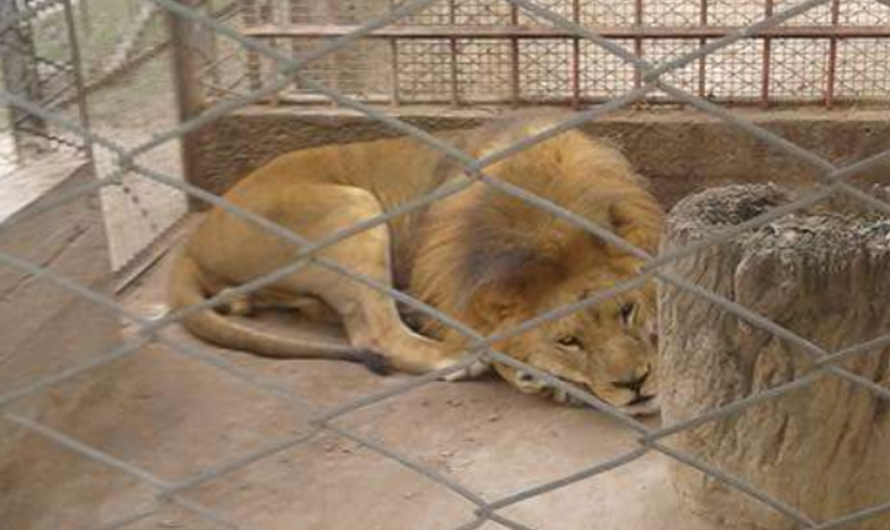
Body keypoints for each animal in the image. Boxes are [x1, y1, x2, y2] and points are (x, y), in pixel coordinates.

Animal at [170, 111, 664, 414]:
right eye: (568, 341)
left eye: (627, 311)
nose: (636, 382)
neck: (545, 229)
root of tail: (197, 237)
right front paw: (535, 375)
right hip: (352, 206)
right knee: (377, 333)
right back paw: (460, 358)